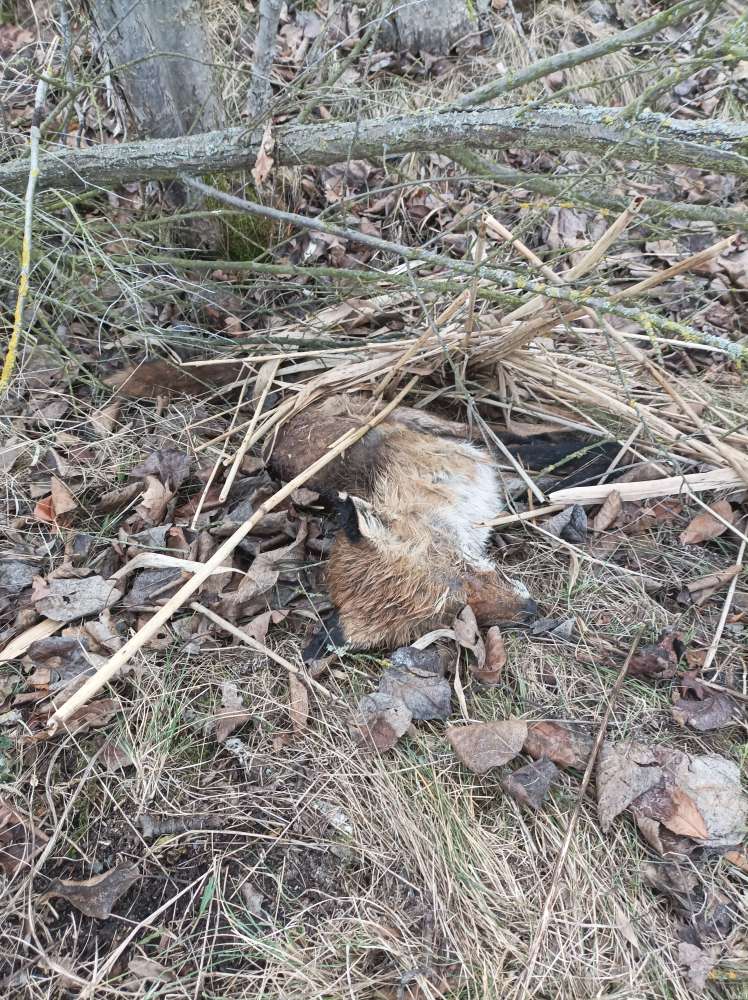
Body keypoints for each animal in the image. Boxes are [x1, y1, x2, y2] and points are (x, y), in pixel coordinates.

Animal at [269, 394, 610, 657]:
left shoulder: (475, 463)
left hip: (421, 421)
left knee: (490, 432)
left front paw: (600, 456)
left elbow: (528, 458)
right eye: (456, 616)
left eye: (460, 566)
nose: (531, 609)